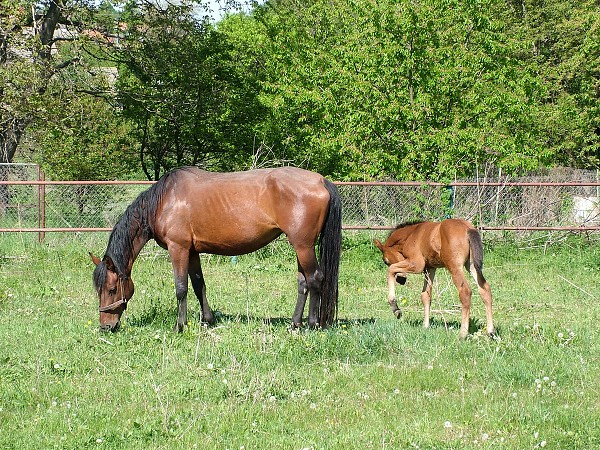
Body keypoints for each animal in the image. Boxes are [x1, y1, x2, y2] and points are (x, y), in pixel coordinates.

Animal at [91, 167, 340, 332]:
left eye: (112, 289)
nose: (106, 327)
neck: (164, 201)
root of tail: (320, 181)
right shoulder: (192, 252)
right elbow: (198, 284)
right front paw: (207, 320)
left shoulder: (178, 249)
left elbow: (181, 288)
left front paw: (179, 326)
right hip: (300, 246)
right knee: (303, 282)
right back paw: (294, 323)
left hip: (303, 246)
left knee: (315, 279)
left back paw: (312, 325)